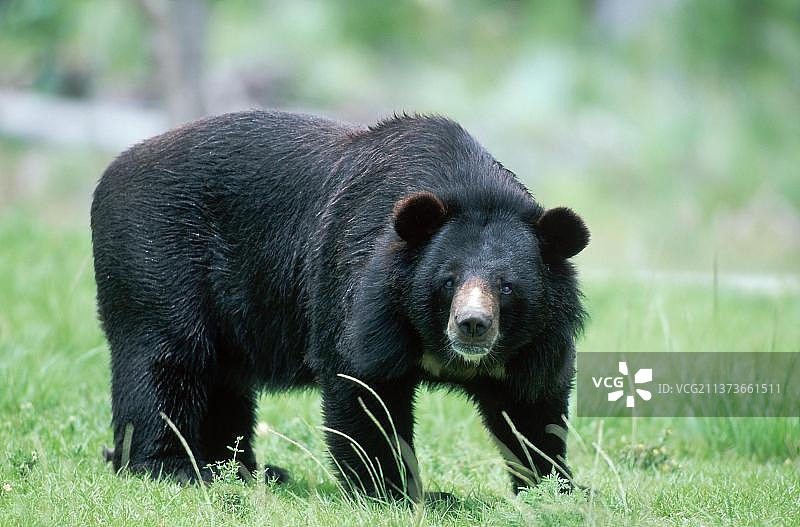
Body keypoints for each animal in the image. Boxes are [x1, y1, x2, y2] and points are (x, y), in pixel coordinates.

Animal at [90, 110, 588, 501]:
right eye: (447, 281)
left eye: (507, 287)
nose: (472, 326)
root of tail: (112, 170)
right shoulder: (366, 292)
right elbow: (364, 384)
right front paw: (392, 490)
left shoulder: (535, 341)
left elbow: (532, 405)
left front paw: (557, 488)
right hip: (157, 256)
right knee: (166, 360)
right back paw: (172, 468)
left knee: (222, 379)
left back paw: (244, 470)